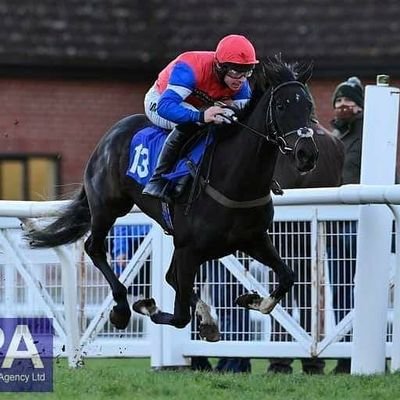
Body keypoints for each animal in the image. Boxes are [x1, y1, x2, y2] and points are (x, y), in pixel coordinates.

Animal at [25, 58, 318, 340]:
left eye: (309, 106)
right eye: (281, 106)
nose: (307, 154)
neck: (235, 181)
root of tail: (110, 135)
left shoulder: (252, 239)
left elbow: (287, 276)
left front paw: (251, 299)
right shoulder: (189, 249)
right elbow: (179, 316)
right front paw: (147, 306)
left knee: (169, 276)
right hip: (108, 207)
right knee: (95, 248)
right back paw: (121, 310)